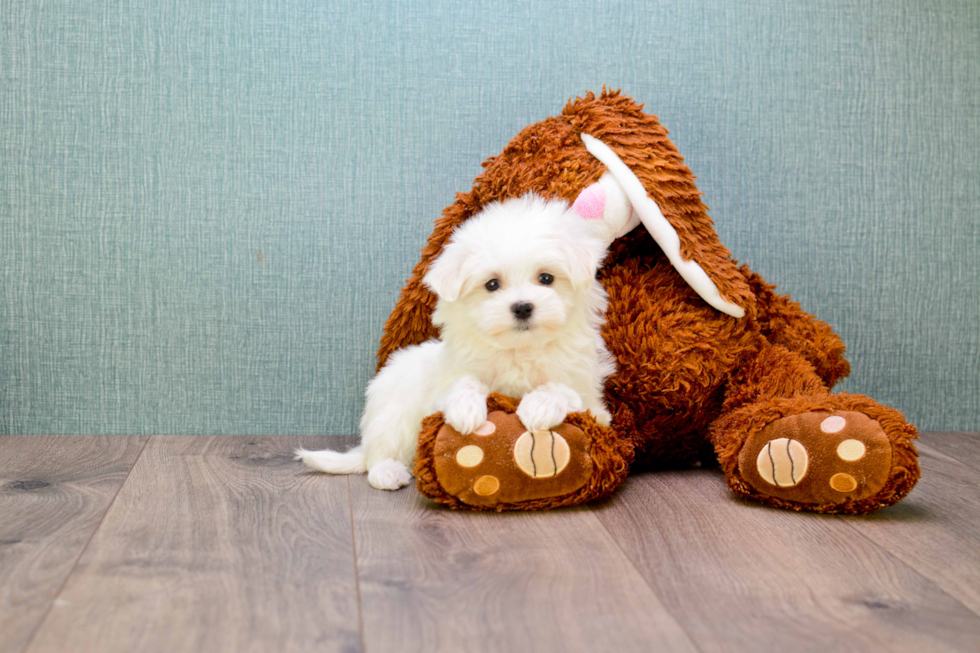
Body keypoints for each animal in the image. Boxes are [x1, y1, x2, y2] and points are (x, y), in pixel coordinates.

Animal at [296, 194, 612, 488]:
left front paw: (540, 406)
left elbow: (563, 389)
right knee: (381, 453)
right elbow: (463, 383)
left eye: (546, 278)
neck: (517, 349)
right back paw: (388, 472)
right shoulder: (448, 379)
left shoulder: (591, 401)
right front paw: (466, 409)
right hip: (392, 414)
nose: (522, 307)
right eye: (492, 284)